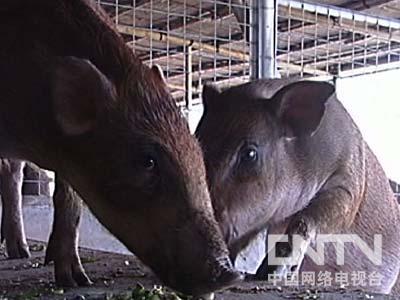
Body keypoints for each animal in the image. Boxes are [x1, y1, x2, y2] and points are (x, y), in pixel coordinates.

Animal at [0, 0, 241, 296]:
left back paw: (22, 253)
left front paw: (76, 281)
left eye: (197, 152)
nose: (231, 275)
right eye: (148, 160)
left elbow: (68, 200)